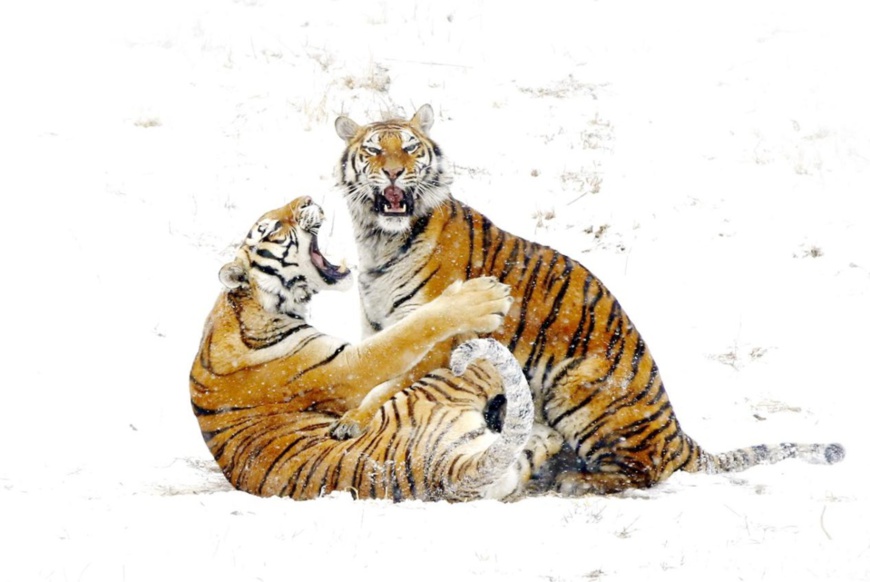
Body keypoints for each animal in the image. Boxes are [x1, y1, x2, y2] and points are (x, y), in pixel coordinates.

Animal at [189, 196, 540, 501]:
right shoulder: (349, 368)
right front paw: (480, 298)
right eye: (272, 228)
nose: (306, 198)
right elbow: (412, 330)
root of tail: (448, 474)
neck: (251, 305)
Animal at [331, 104, 845, 495]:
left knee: (641, 473)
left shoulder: (442, 340)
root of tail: (678, 434)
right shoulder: (380, 325)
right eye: (374, 149)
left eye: (410, 147)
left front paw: (350, 422)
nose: (394, 171)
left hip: (576, 386)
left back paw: (574, 480)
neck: (380, 241)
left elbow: (388, 385)